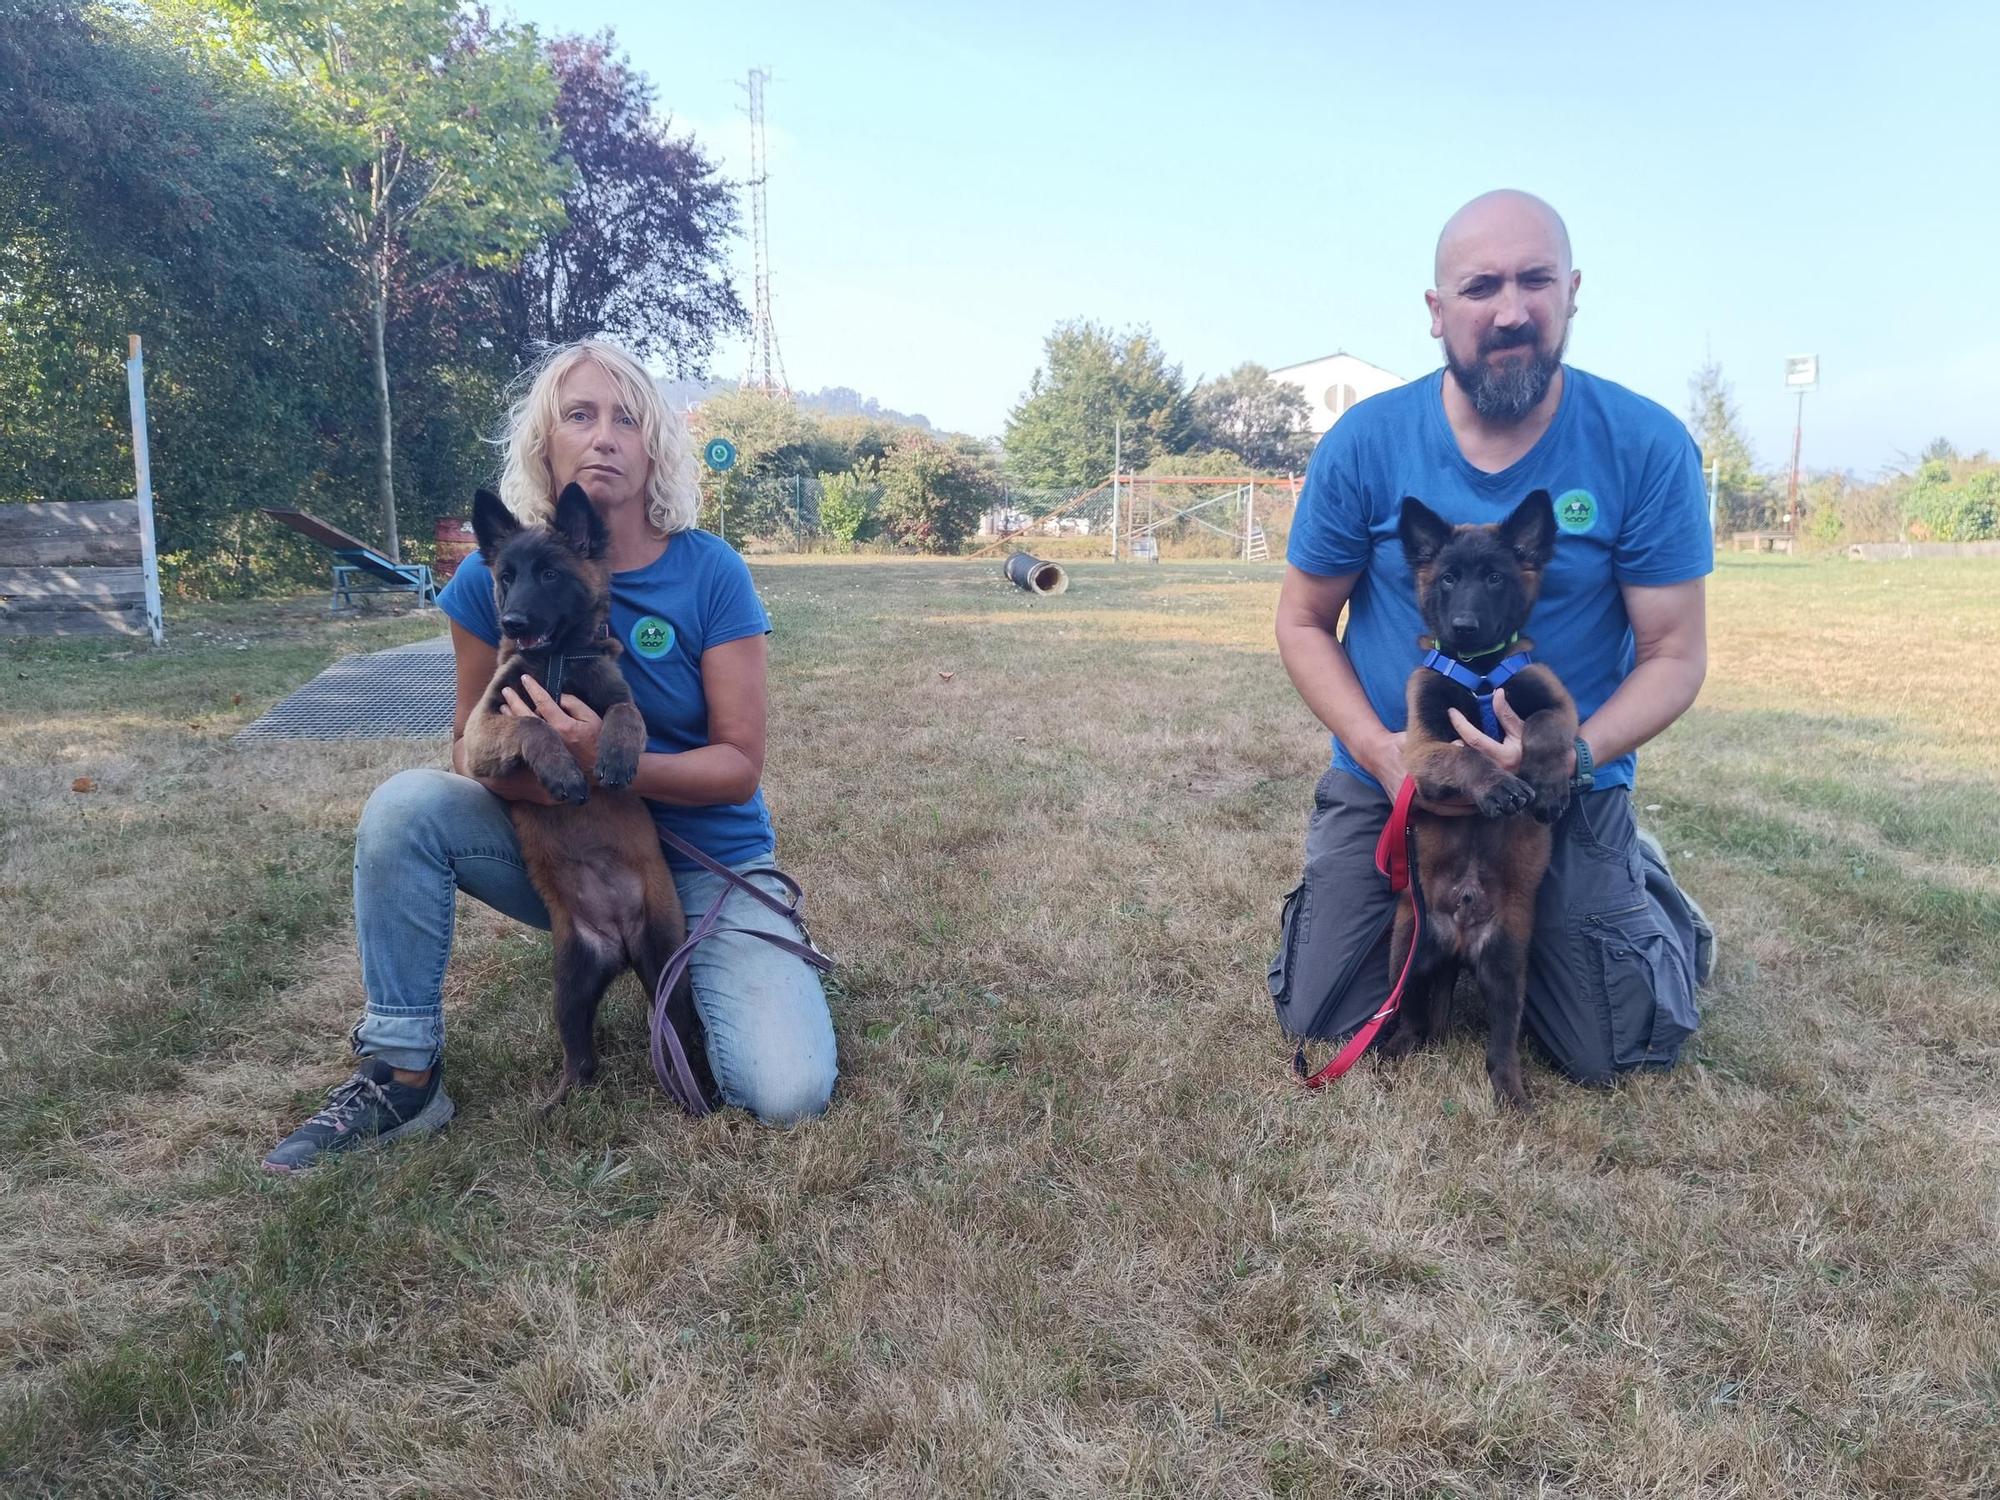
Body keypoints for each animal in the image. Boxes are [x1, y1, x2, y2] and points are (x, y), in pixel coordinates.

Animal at [460, 488, 696, 1112]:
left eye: (549, 574)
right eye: (506, 576)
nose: (513, 621)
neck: (557, 661)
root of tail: (619, 941)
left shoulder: (616, 698)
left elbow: (625, 715)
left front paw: (612, 758)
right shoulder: (481, 733)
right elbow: (532, 727)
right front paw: (564, 773)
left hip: (670, 966)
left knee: (682, 1030)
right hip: (568, 988)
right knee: (579, 1056)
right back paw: (556, 1103)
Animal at [1376, 494, 1576, 1120]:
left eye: (1493, 578)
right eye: (1447, 579)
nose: (1463, 626)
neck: (1482, 671)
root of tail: (1461, 941)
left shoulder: (1556, 700)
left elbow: (1544, 727)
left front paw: (1548, 784)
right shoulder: (1422, 749)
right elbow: (1464, 752)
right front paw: (1497, 786)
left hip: (1509, 967)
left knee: (1501, 1039)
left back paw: (1511, 1093)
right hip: (1408, 952)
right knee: (1409, 1018)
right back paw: (1387, 1053)